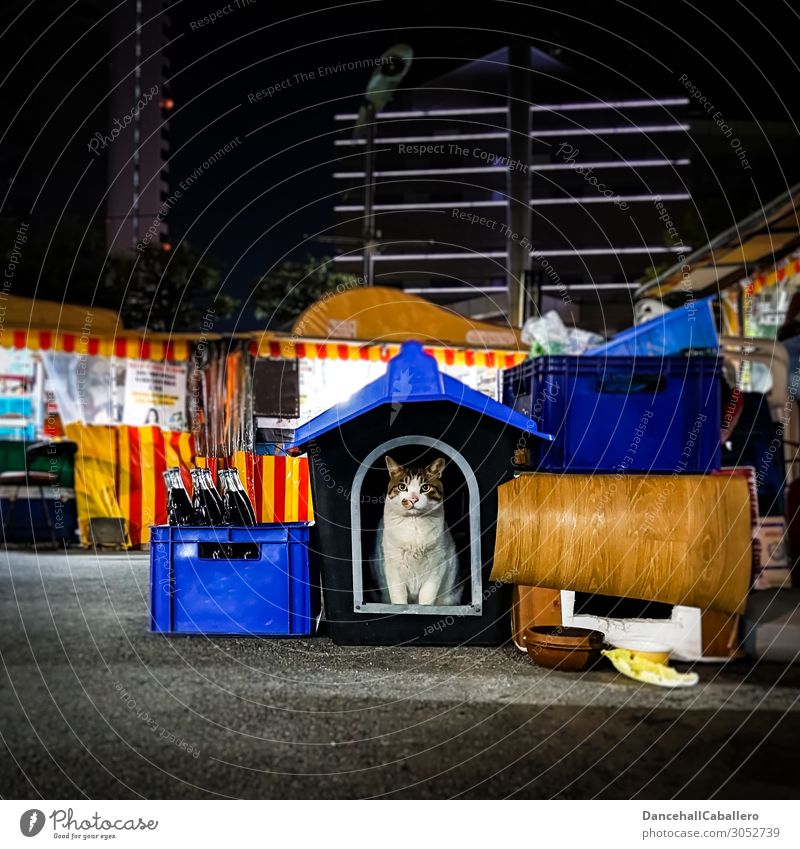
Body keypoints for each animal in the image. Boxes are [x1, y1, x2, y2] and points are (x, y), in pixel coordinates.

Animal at [372, 454, 460, 608]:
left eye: (425, 487)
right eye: (402, 487)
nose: (413, 499)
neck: (414, 524)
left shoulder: (436, 566)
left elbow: (427, 597)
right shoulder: (393, 567)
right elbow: (398, 598)